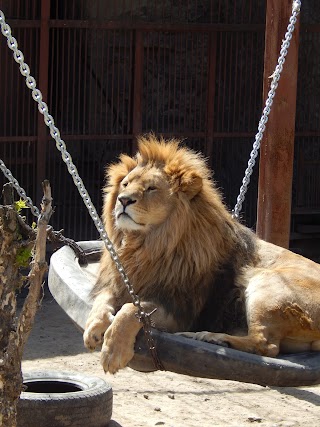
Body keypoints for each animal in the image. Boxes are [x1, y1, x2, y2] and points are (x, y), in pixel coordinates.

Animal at [83, 135, 320, 374]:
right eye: (125, 184)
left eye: (151, 188)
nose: (123, 200)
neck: (145, 245)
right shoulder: (120, 283)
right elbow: (103, 300)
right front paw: (93, 328)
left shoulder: (179, 310)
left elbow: (132, 309)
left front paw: (113, 351)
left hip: (267, 284)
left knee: (266, 345)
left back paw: (210, 337)